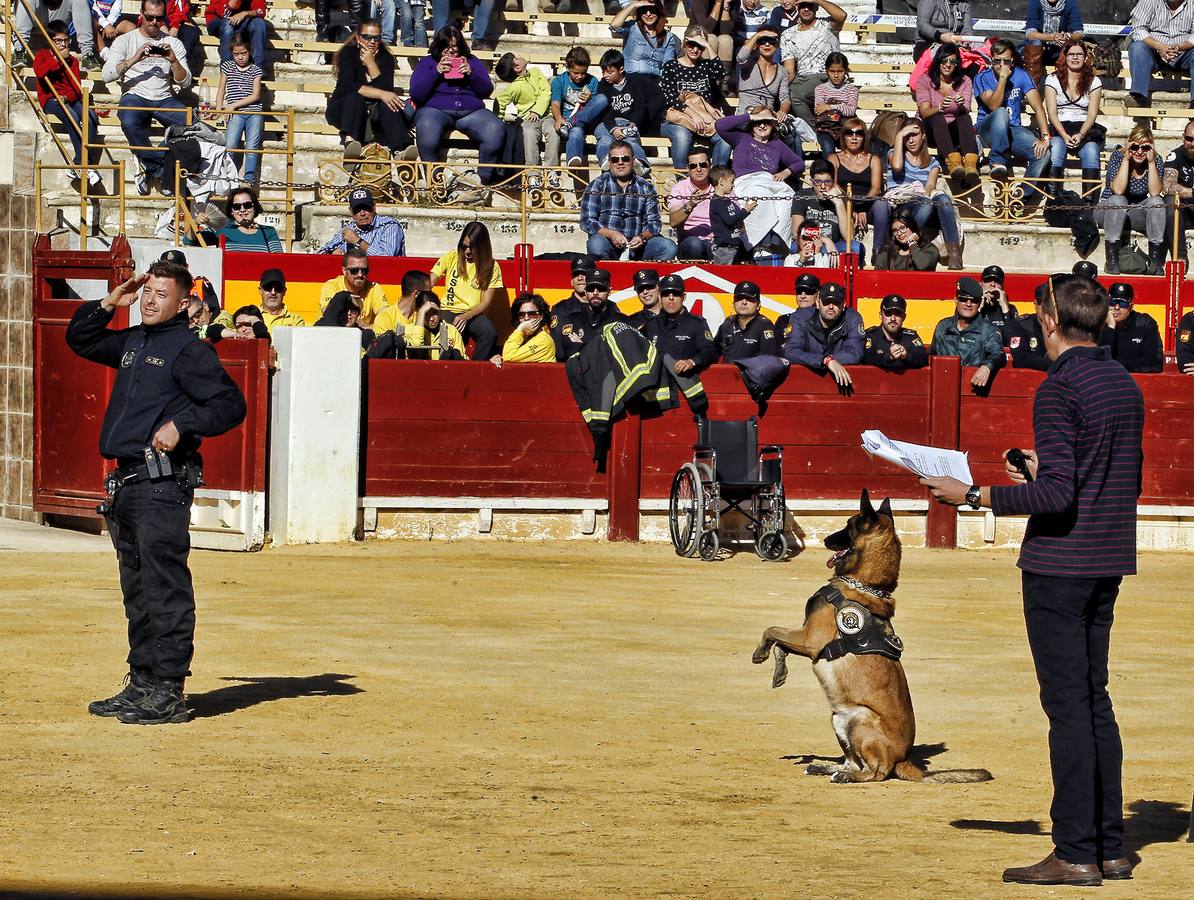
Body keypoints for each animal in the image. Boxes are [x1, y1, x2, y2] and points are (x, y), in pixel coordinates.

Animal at [749, 487, 993, 783]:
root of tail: (903, 760)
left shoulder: (809, 639)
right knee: (853, 763)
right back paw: (825, 768)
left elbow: (771, 630)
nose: (826, 538)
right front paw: (779, 672)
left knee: (875, 773)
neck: (865, 584)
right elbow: (780, 644)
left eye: (848, 525)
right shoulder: (805, 638)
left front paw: (760, 653)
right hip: (838, 718)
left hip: (859, 719)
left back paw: (844, 777)